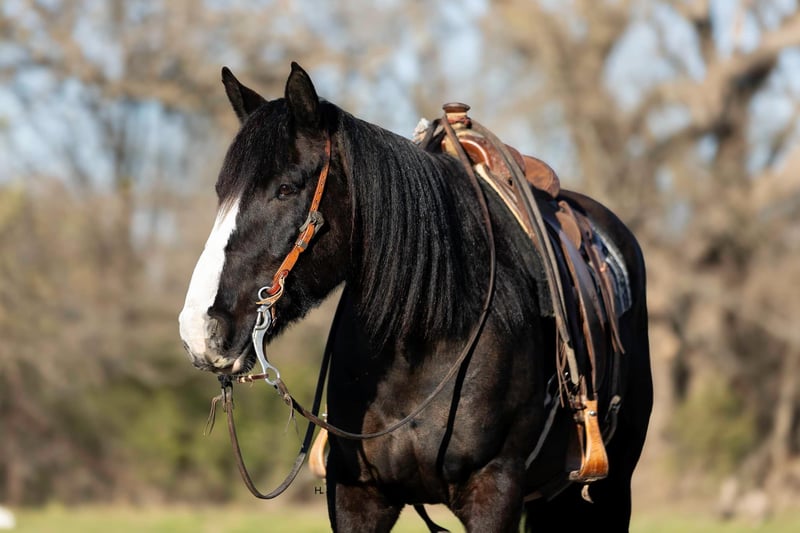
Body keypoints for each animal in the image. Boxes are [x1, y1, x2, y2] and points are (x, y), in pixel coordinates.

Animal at [178, 62, 653, 532]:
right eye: (222, 191)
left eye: (287, 189)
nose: (200, 329)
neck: (426, 337)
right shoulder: (357, 497)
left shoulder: (494, 491)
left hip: (610, 490)